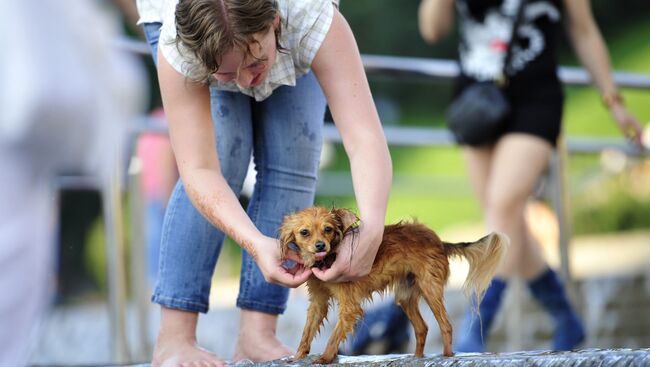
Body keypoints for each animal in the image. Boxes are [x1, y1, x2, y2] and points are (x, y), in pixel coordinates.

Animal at [278, 207, 506, 366]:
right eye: (304, 232)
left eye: (328, 230)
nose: (320, 246)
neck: (327, 258)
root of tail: (440, 242)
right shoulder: (318, 302)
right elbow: (307, 332)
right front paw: (297, 356)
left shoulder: (350, 308)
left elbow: (334, 336)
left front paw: (325, 358)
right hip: (405, 296)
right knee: (422, 327)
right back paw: (417, 358)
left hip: (430, 289)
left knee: (446, 325)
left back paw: (448, 356)